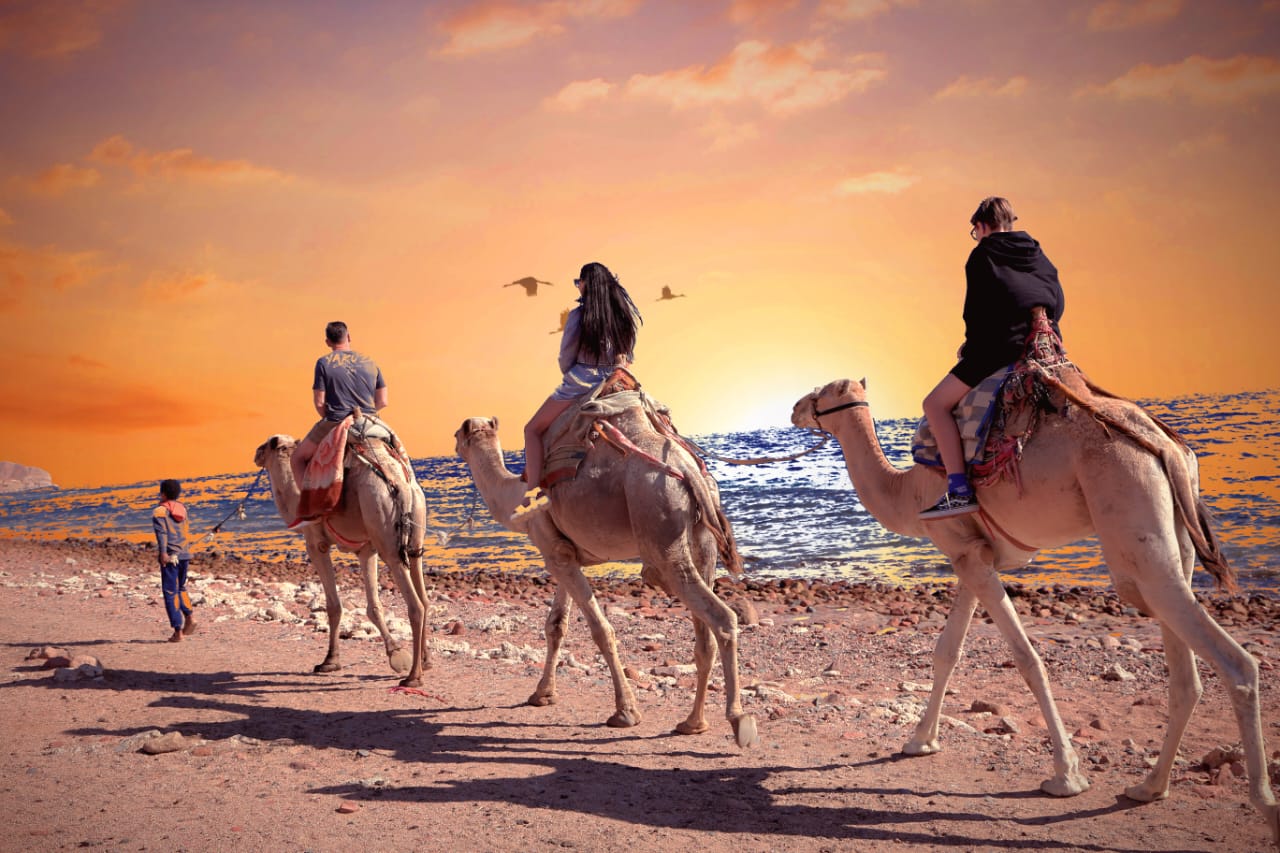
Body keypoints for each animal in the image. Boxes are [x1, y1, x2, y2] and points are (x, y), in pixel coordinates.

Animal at [254, 434, 431, 687]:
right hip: (414, 532)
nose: (256, 453)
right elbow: (373, 606)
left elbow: (334, 606)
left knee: (415, 605)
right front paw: (395, 653)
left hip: (387, 539)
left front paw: (329, 661)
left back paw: (413, 677)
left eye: (269, 443)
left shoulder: (316, 544)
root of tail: (401, 485)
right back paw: (426, 661)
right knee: (424, 597)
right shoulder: (366, 549)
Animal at [454, 408, 760, 748]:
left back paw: (739, 721)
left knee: (721, 616)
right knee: (705, 634)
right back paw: (693, 723)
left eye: (457, 434)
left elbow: (601, 630)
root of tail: (687, 469)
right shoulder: (565, 553)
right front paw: (542, 694)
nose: (455, 445)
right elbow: (556, 626)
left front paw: (625, 713)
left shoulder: (553, 551)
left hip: (660, 525)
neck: (514, 497)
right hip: (702, 540)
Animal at [791, 376, 1278, 844]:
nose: (795, 407)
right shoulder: (973, 555)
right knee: (1186, 675)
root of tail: (1167, 448)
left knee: (1235, 663)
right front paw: (920, 741)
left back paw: (1265, 807)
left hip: (1134, 526)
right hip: (1172, 545)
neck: (909, 492)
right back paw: (1148, 787)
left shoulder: (967, 555)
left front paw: (1067, 776)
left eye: (821, 394)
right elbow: (947, 651)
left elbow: (1027, 659)